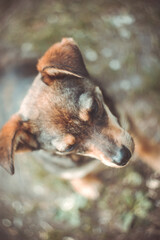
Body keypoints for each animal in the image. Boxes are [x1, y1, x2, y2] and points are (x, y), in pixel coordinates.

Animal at [0, 38, 159, 199]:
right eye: (69, 148)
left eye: (94, 107)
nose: (123, 157)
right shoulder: (62, 168)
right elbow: (72, 175)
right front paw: (86, 185)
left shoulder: (125, 121)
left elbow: (145, 145)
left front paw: (156, 159)